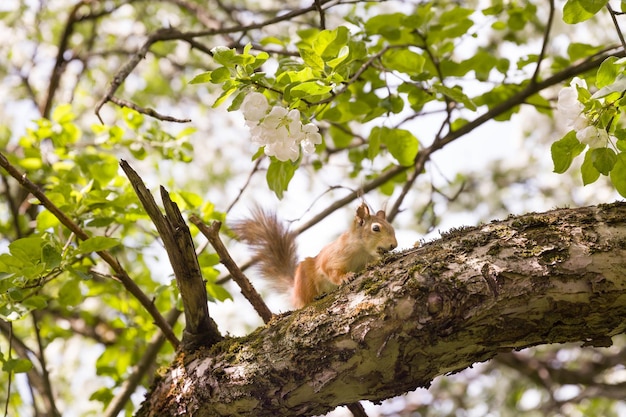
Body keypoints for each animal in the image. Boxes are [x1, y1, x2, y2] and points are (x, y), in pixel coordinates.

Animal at [232, 203, 398, 308]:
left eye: (392, 227)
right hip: (305, 281)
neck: (362, 251)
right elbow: (330, 270)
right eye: (375, 228)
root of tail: (295, 294)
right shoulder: (334, 256)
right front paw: (345, 277)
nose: (394, 245)